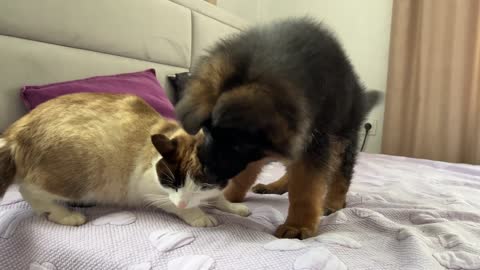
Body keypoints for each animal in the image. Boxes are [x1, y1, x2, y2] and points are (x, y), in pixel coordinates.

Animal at [0, 93, 249, 226]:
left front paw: (234, 207)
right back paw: (67, 215)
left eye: (202, 184)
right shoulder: (148, 188)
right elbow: (177, 204)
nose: (183, 202)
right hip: (89, 168)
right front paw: (200, 216)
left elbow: (219, 197)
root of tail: (14, 131)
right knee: (28, 190)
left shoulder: (215, 187)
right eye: (171, 182)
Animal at [174, 17, 380, 239]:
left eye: (238, 145)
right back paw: (275, 186)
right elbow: (245, 175)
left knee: (341, 173)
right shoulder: (268, 147)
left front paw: (299, 225)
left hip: (343, 137)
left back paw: (333, 202)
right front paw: (228, 198)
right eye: (207, 131)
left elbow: (306, 186)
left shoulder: (311, 141)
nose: (206, 176)